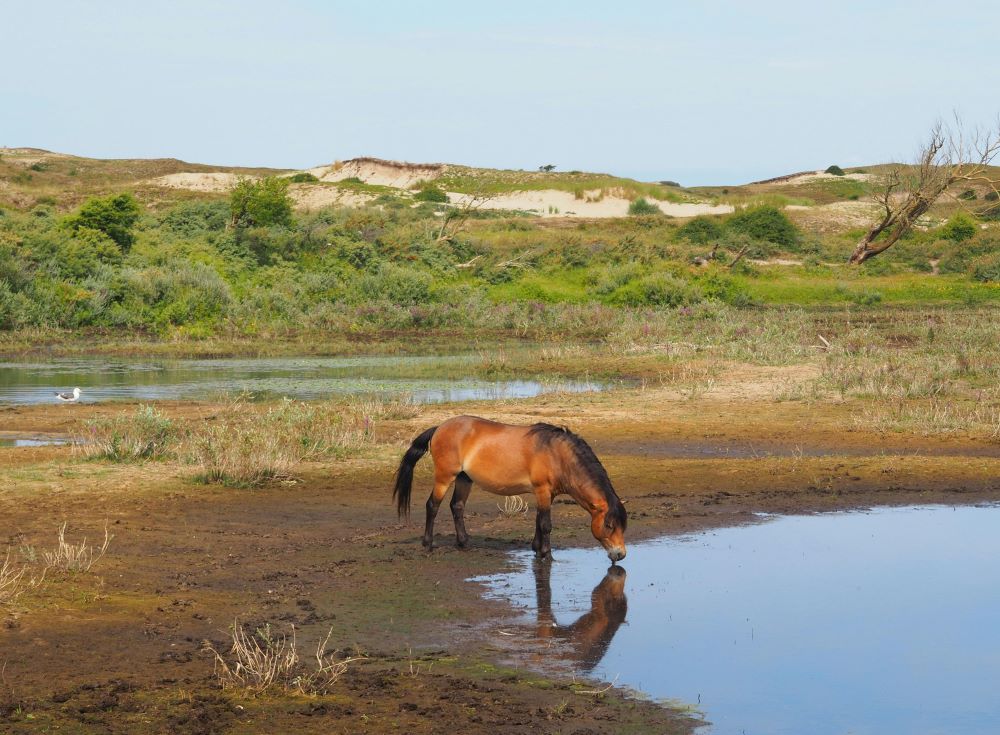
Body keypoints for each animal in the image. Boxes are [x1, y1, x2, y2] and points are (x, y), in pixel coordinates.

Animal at [392, 415, 627, 562]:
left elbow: (538, 521)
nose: (621, 554)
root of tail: (439, 428)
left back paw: (464, 543)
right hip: (444, 477)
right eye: (609, 525)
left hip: (464, 479)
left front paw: (536, 550)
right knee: (433, 505)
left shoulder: (546, 494)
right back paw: (428, 544)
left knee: (456, 506)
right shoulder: (542, 490)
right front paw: (548, 554)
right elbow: (546, 524)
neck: (557, 454)